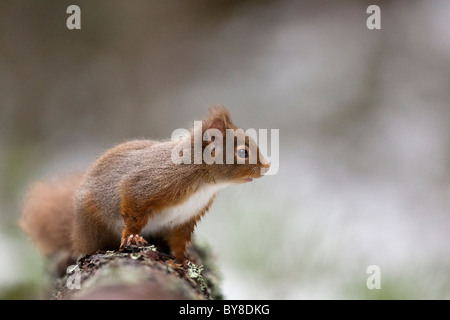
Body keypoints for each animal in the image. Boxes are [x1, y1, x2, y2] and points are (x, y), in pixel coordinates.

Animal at [19, 106, 268, 264]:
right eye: (243, 152)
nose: (267, 166)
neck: (204, 181)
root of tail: (75, 232)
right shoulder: (150, 183)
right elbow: (133, 208)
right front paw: (132, 237)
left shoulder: (186, 217)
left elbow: (179, 240)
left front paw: (183, 261)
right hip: (93, 224)